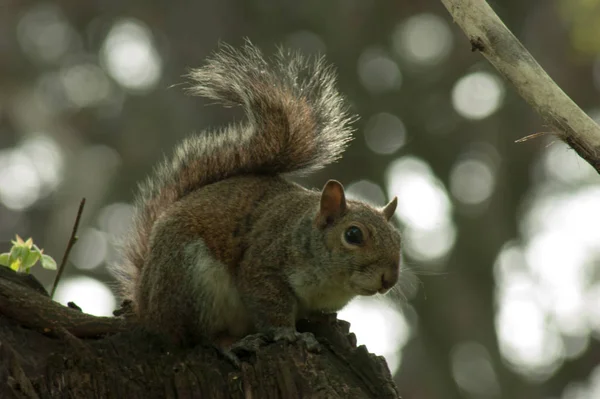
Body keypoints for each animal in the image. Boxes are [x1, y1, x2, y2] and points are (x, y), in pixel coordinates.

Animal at [112, 40, 404, 350]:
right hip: (189, 278)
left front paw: (340, 328)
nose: (389, 279)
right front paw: (288, 334)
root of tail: (145, 303)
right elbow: (270, 304)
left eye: (398, 239)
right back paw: (231, 344)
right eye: (353, 235)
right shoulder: (263, 265)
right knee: (196, 336)